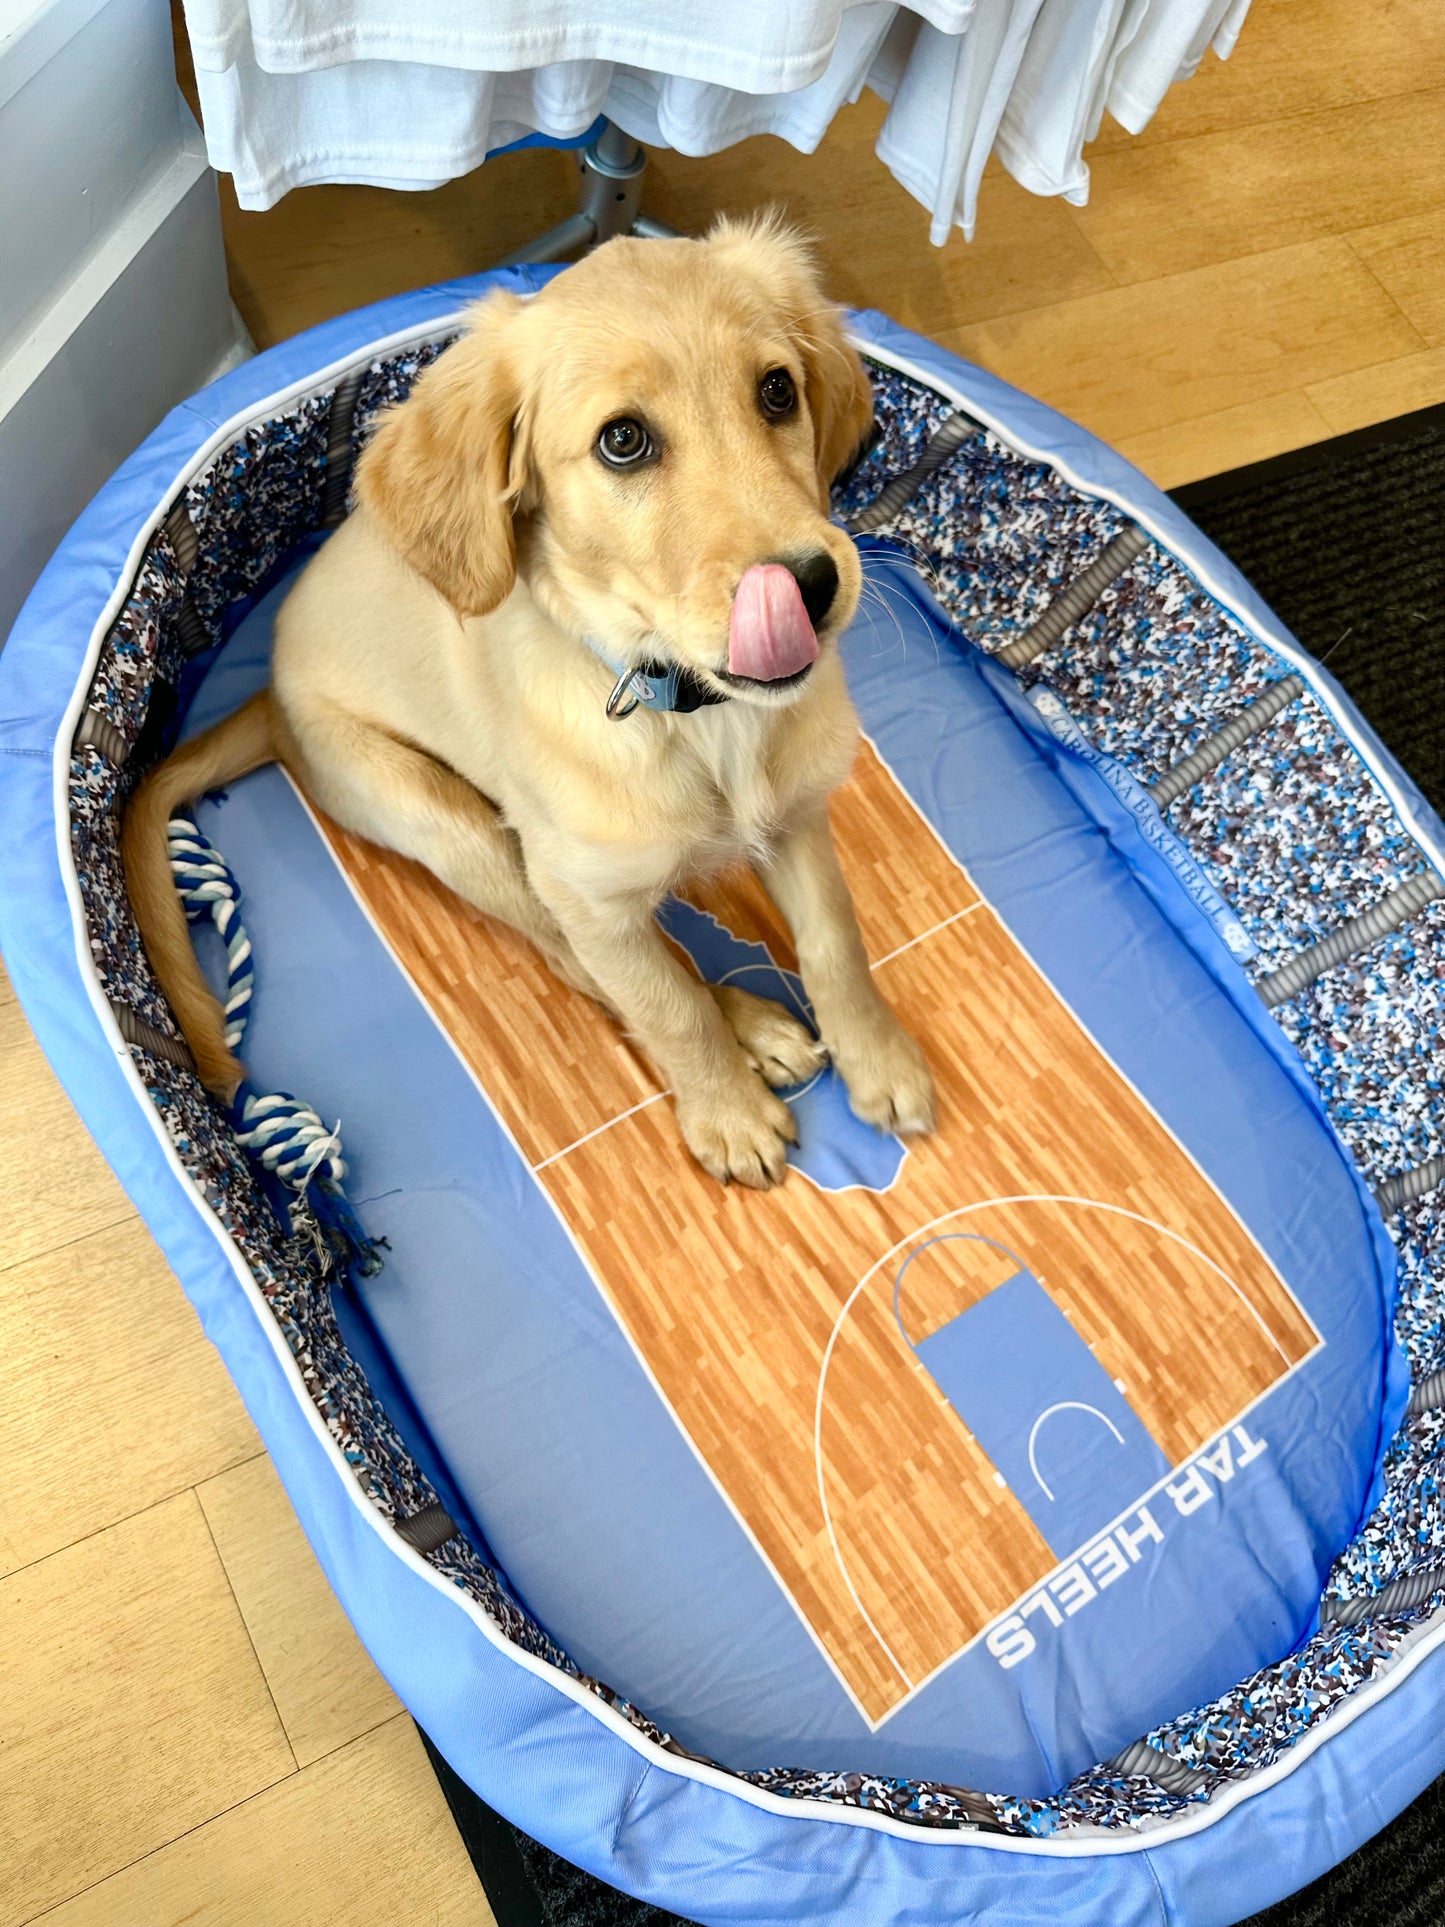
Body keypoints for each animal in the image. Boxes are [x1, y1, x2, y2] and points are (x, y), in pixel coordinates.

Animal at [127, 207, 940, 1171]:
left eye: (777, 390)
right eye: (622, 440)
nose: (810, 587)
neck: (692, 715)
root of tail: (267, 699)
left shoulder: (799, 814)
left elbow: (835, 942)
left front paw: (880, 1060)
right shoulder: (583, 894)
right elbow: (665, 1003)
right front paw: (726, 1111)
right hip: (459, 832)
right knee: (580, 964)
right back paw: (752, 1029)